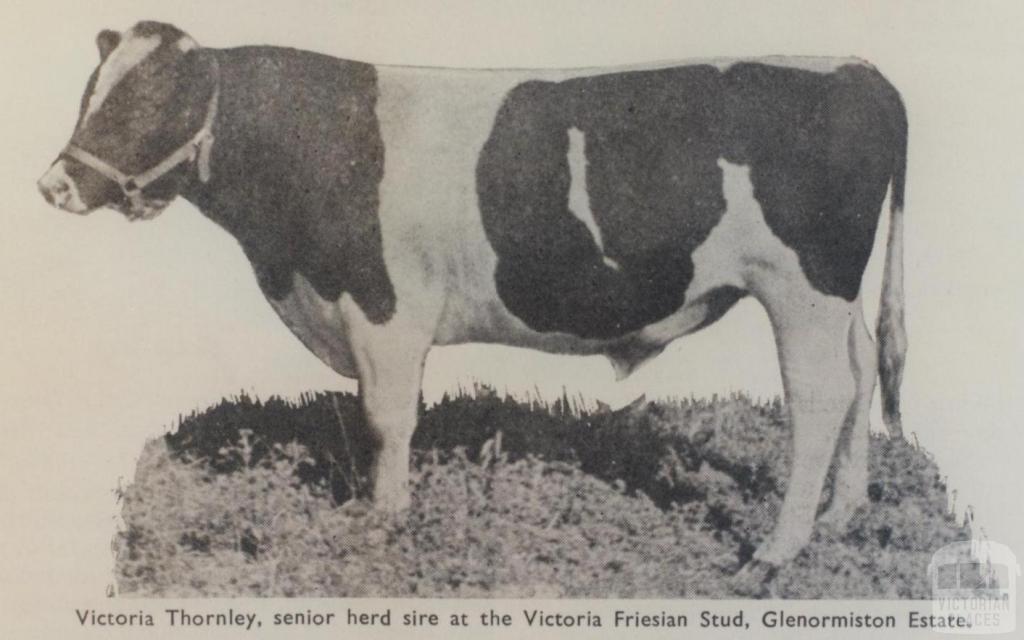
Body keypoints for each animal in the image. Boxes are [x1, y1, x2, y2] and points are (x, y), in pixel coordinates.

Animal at [36, 22, 909, 573]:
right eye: (91, 91)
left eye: (148, 100)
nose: (53, 185)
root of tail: (857, 68)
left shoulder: (385, 306)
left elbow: (388, 420)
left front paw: (384, 523)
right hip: (838, 296)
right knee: (864, 369)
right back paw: (841, 514)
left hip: (801, 287)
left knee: (819, 397)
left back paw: (774, 553)